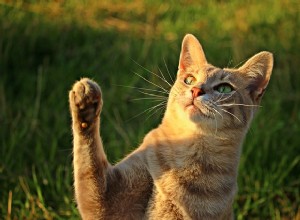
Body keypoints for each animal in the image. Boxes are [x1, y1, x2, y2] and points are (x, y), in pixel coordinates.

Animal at [69, 33, 274, 219]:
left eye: (224, 88)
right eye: (189, 79)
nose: (196, 90)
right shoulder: (106, 199)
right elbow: (89, 162)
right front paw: (85, 102)